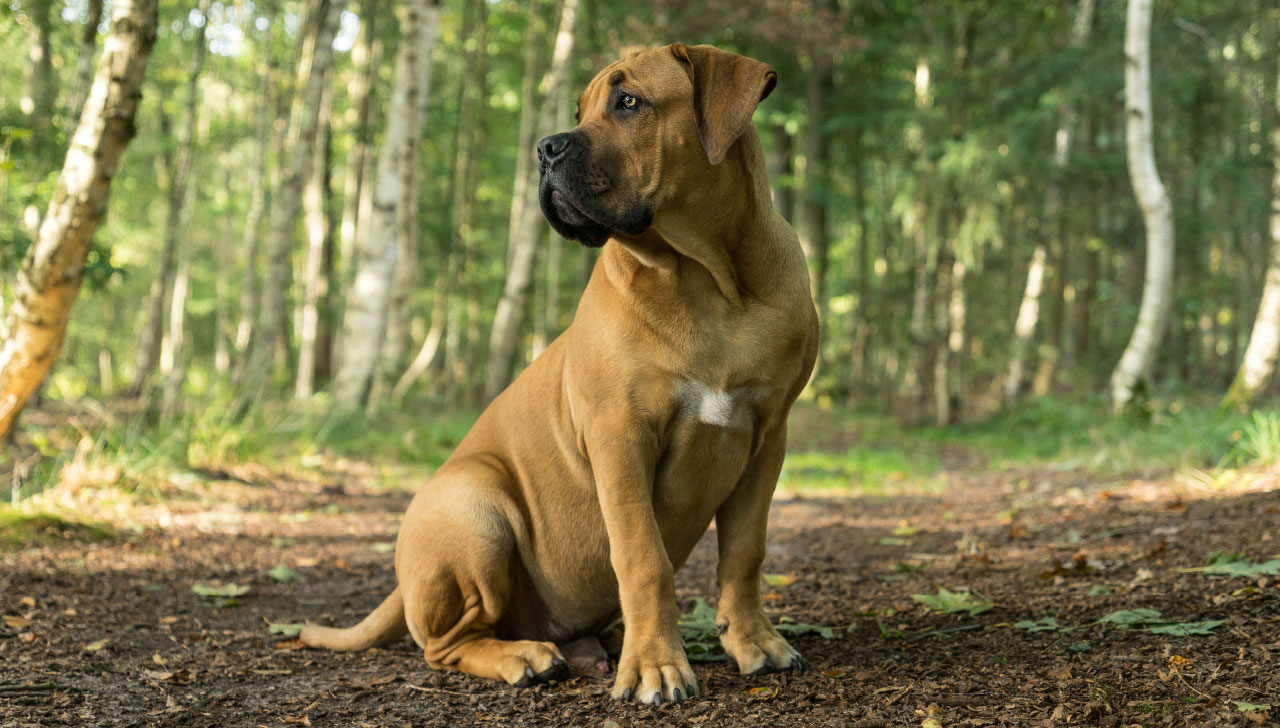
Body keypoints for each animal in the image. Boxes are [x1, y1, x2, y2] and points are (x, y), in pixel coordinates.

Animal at [302, 41, 819, 706]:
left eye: (630, 102)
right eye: (580, 111)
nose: (546, 148)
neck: (707, 279)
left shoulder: (766, 435)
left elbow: (745, 551)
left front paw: (753, 641)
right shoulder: (619, 437)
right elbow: (643, 558)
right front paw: (656, 667)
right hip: (474, 508)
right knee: (446, 644)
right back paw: (524, 655)